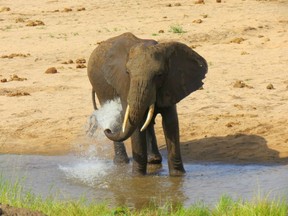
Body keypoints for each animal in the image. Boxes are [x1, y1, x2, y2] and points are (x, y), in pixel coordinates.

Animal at [87, 33, 207, 176]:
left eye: (159, 75)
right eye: (127, 73)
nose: (107, 129)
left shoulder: (171, 83)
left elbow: (170, 122)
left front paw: (178, 176)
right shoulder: (124, 84)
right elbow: (135, 123)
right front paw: (137, 177)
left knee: (147, 120)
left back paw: (153, 160)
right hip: (98, 83)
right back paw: (122, 162)